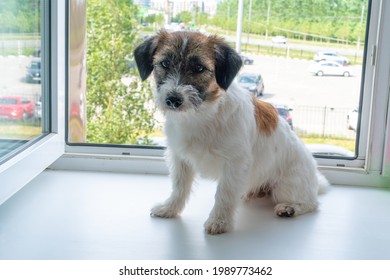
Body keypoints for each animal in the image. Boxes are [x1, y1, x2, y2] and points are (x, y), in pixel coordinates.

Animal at [134, 30, 330, 234]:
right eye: (164, 63)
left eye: (199, 68)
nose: (173, 99)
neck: (201, 115)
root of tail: (315, 181)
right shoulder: (180, 159)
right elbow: (179, 187)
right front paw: (170, 208)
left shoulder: (234, 164)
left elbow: (224, 193)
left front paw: (219, 221)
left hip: (286, 188)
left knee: (312, 203)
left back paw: (289, 208)